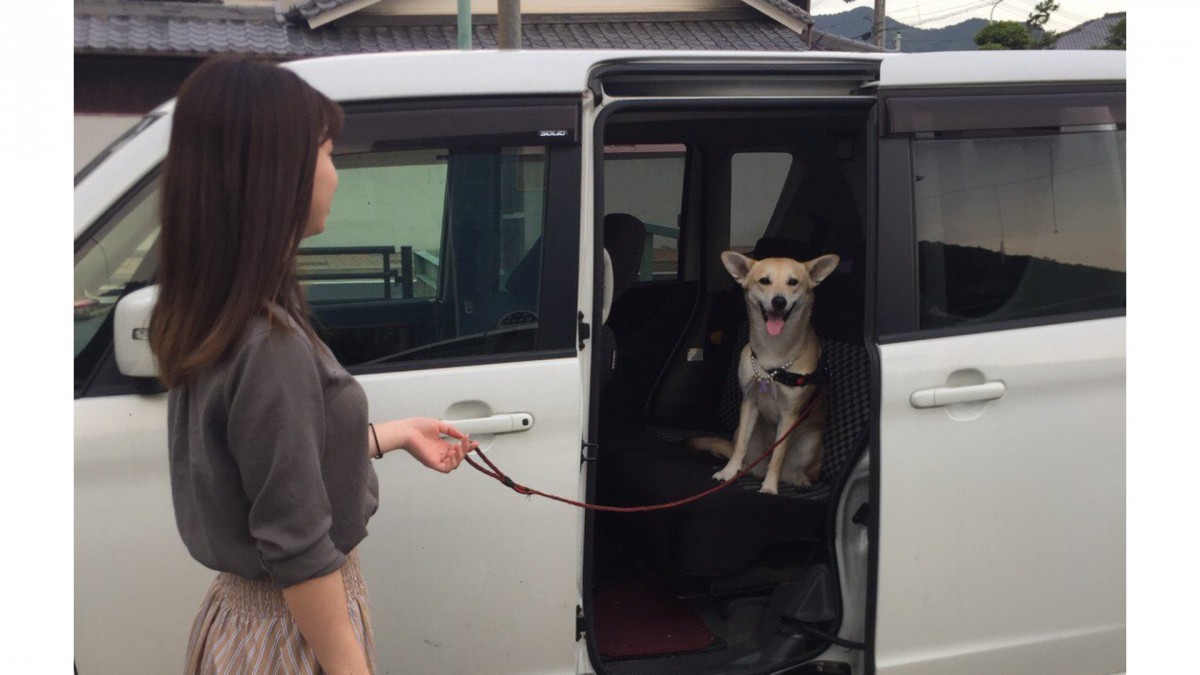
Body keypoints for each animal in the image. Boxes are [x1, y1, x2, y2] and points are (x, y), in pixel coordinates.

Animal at [691, 249, 840, 492]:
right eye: (764, 281)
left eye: (793, 282)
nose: (779, 301)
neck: (773, 355)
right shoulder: (749, 403)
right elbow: (740, 446)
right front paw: (728, 472)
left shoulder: (789, 416)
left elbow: (777, 457)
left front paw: (769, 487)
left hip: (810, 444)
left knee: (802, 470)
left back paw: (800, 479)